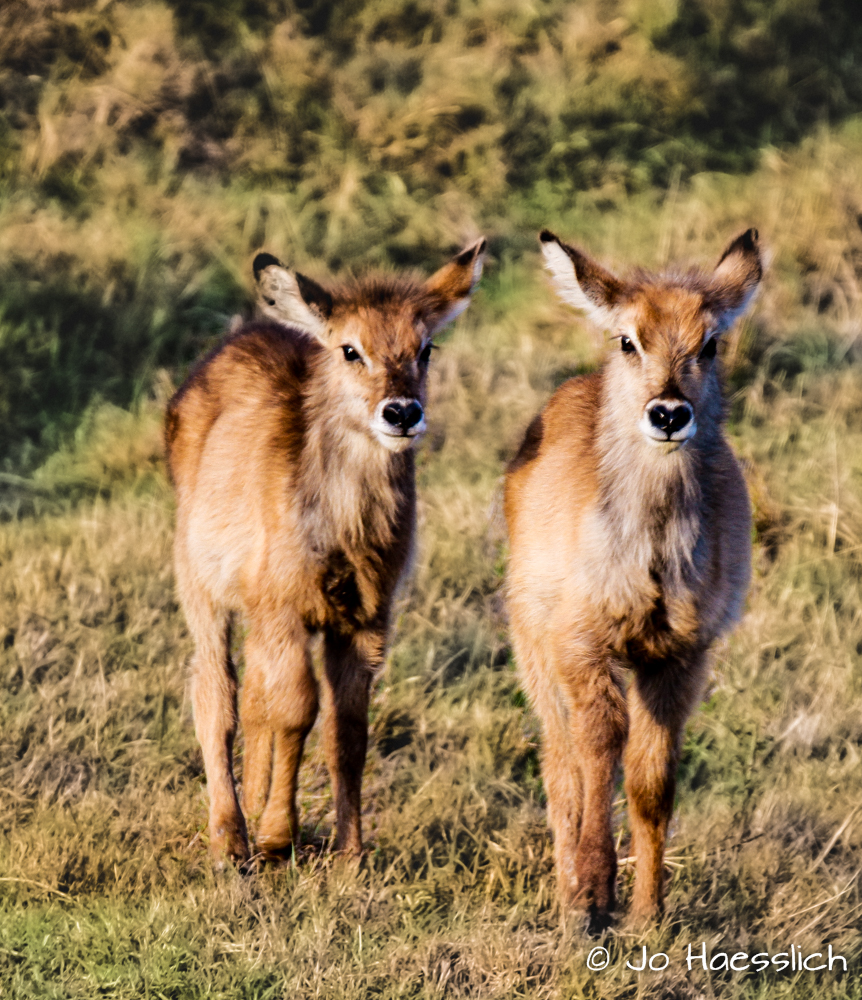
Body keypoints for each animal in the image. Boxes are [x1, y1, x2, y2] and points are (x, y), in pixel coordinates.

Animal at [164, 240, 486, 860]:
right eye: (350, 349)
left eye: (426, 348)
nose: (401, 412)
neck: (344, 532)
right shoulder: (285, 607)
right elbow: (296, 711)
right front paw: (275, 835)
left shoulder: (364, 619)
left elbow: (348, 731)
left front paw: (350, 854)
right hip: (202, 590)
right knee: (216, 692)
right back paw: (230, 837)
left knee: (254, 696)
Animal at [506, 229, 764, 928]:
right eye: (628, 339)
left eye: (709, 342)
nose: (668, 413)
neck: (651, 551)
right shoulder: (579, 644)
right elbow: (596, 753)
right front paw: (592, 896)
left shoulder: (680, 656)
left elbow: (651, 782)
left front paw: (649, 911)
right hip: (532, 645)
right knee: (560, 760)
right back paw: (570, 890)